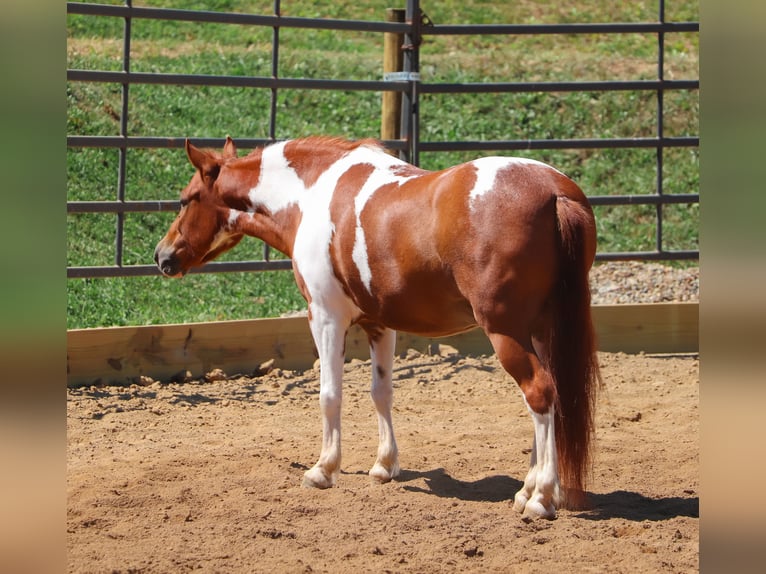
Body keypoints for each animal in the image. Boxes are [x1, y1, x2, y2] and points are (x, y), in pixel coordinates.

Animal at [154, 136, 600, 519]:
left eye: (186, 199)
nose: (162, 256)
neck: (311, 194)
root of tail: (555, 192)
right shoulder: (379, 325)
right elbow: (381, 393)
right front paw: (385, 465)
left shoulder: (325, 317)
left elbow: (329, 395)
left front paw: (324, 469)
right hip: (542, 330)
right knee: (548, 396)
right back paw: (526, 489)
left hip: (507, 332)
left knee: (539, 393)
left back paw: (541, 498)